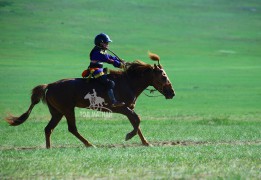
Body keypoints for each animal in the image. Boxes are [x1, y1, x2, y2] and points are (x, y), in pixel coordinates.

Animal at [5, 52, 175, 148]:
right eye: (163, 76)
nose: (172, 93)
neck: (128, 82)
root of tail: (50, 85)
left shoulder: (128, 109)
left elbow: (136, 123)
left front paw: (146, 142)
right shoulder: (121, 108)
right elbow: (137, 120)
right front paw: (129, 136)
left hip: (57, 112)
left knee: (48, 129)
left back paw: (49, 148)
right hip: (68, 110)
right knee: (72, 128)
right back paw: (89, 144)